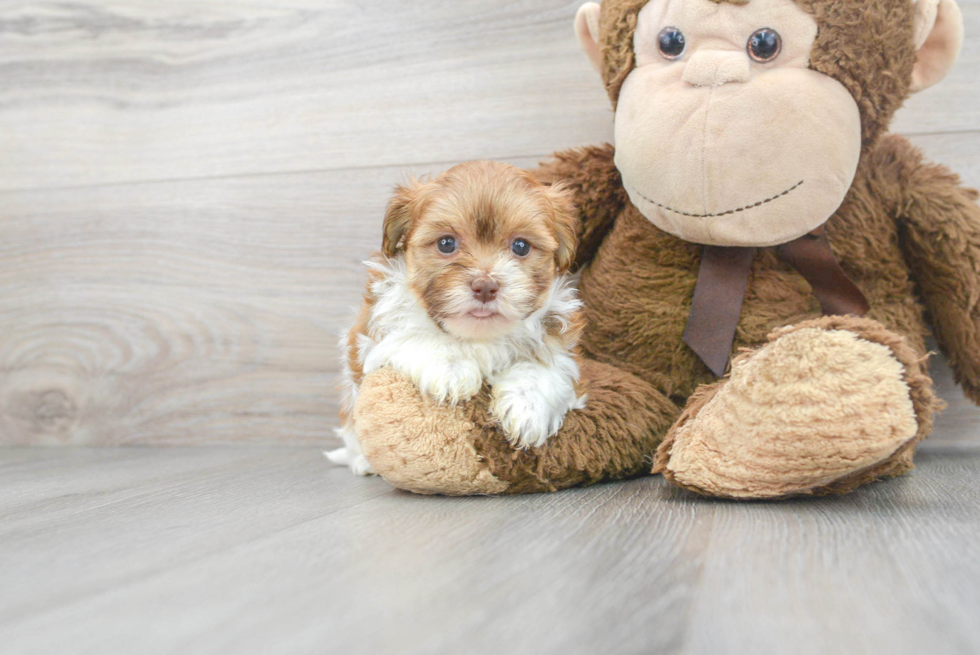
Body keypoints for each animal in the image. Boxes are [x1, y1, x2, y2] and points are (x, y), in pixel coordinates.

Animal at [330, 160, 584, 476]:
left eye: (521, 246)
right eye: (447, 244)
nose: (485, 286)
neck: (477, 334)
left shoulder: (557, 342)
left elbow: (545, 369)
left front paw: (526, 407)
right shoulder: (377, 330)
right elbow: (418, 337)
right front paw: (451, 368)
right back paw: (363, 462)